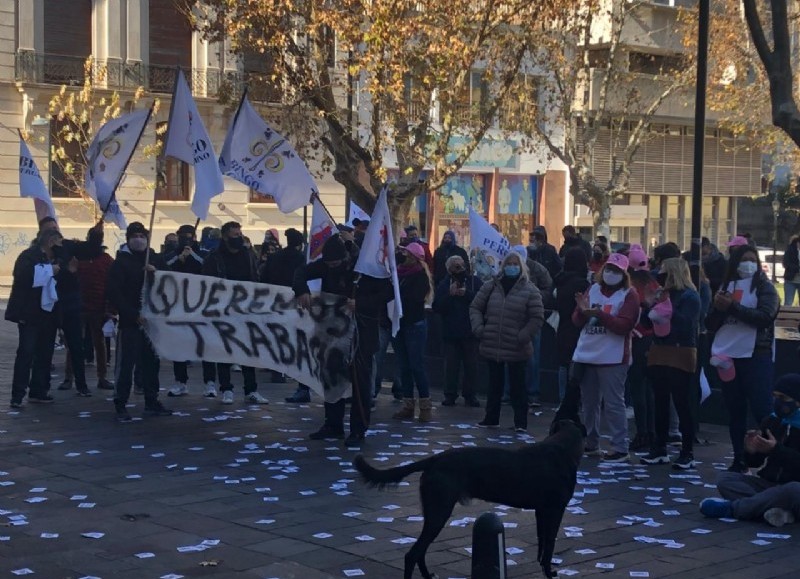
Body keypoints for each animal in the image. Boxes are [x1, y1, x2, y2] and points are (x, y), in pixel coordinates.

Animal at [354, 420, 584, 576]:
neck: (563, 448)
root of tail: (435, 459)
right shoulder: (556, 510)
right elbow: (550, 545)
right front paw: (550, 572)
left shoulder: (542, 511)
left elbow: (542, 543)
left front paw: (542, 567)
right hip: (439, 512)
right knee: (413, 554)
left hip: (434, 514)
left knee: (420, 552)